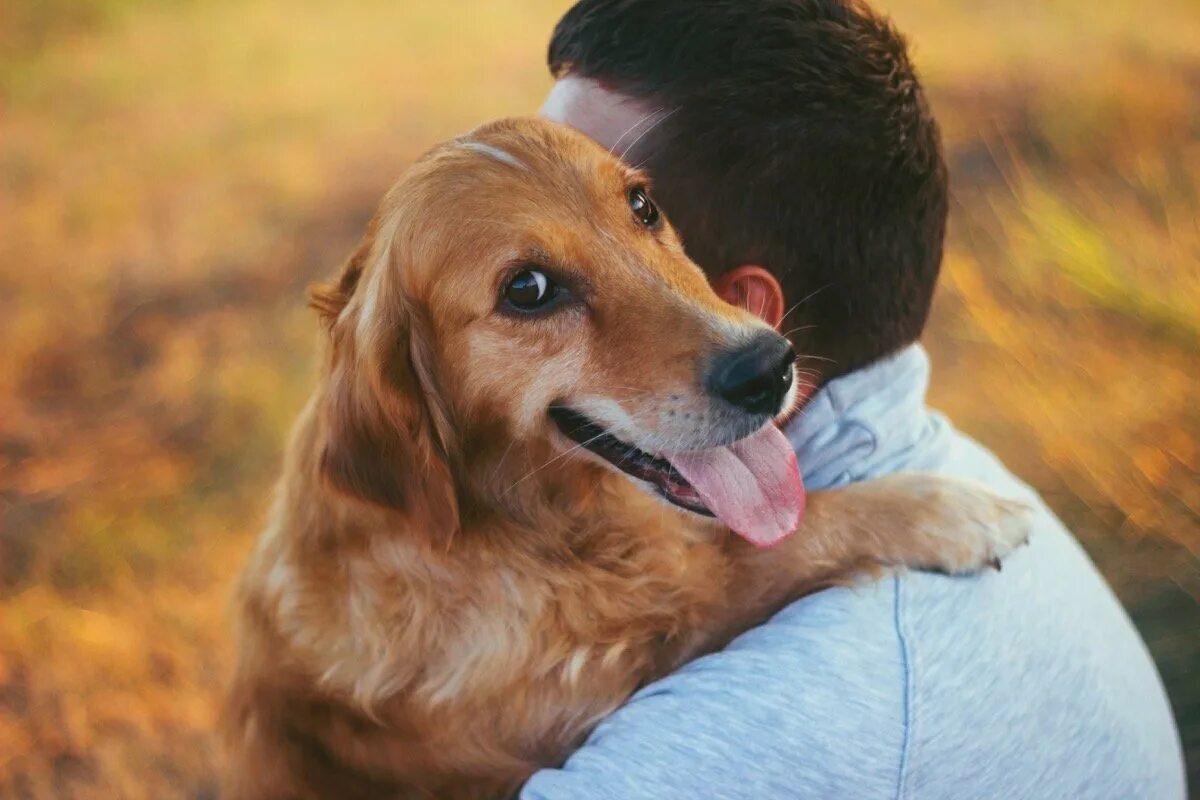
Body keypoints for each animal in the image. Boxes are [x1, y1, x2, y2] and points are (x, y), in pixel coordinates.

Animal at [220, 115, 1027, 796]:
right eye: (526, 289)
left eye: (642, 206)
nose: (768, 367)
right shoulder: (593, 680)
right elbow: (774, 547)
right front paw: (947, 511)